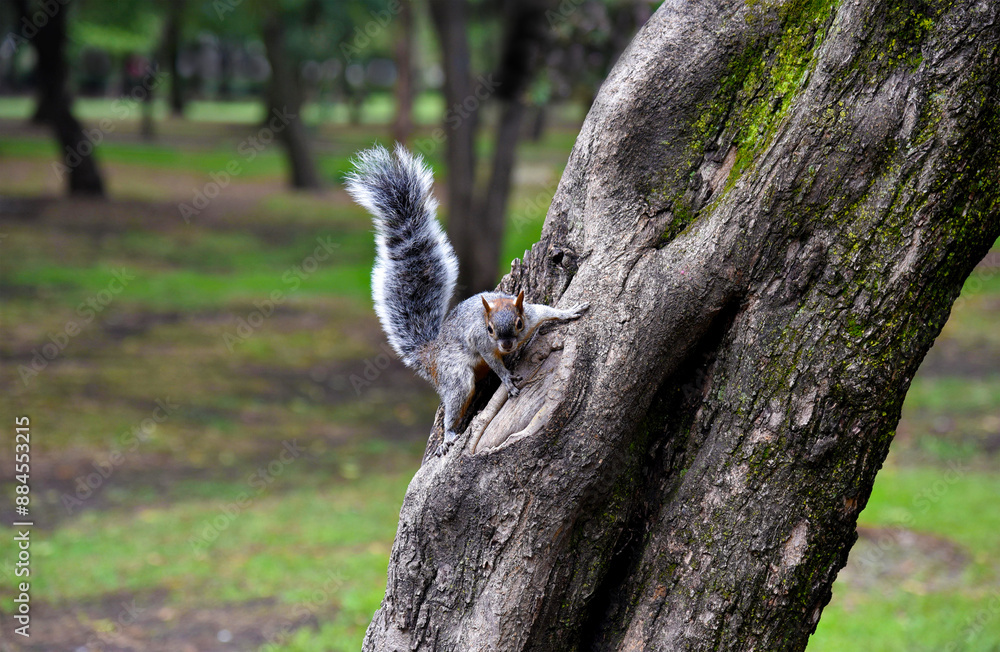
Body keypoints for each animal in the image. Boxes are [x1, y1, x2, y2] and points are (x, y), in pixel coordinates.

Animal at [345, 145, 589, 454]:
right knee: (457, 398)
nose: (507, 346)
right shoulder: (481, 341)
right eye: (490, 329)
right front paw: (506, 379)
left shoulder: (532, 313)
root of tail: (431, 356)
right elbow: (493, 360)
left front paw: (571, 311)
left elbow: (549, 311)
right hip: (455, 375)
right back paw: (450, 433)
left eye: (520, 324)